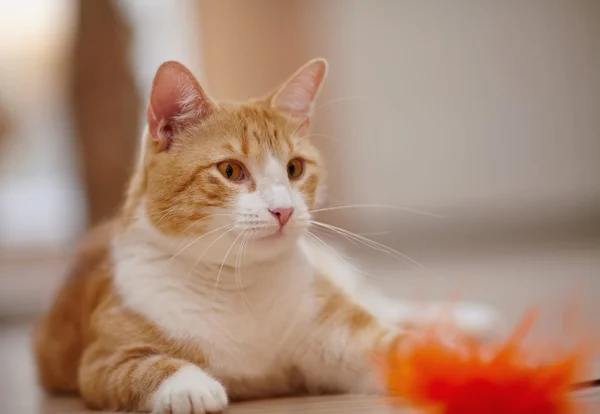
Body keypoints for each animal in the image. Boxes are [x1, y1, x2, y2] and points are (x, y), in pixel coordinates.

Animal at [34, 59, 502, 414]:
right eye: (230, 170)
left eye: (295, 168)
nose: (284, 210)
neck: (239, 285)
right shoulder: (101, 360)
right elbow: (145, 367)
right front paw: (190, 386)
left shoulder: (342, 340)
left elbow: (402, 346)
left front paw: (469, 368)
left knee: (388, 306)